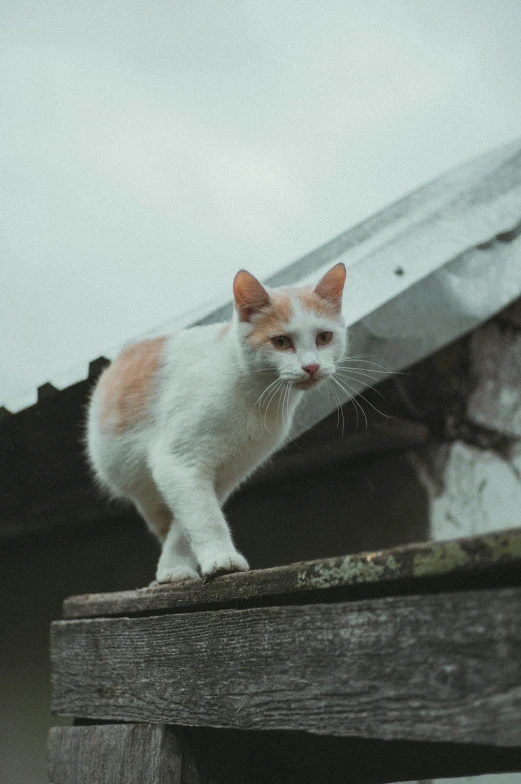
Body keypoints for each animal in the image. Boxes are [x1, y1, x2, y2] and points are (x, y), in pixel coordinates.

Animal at [85, 264, 346, 580]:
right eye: (281, 342)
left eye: (324, 337)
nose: (311, 366)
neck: (254, 396)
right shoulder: (179, 464)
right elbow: (204, 518)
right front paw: (218, 560)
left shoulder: (226, 475)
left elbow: (188, 524)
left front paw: (176, 566)